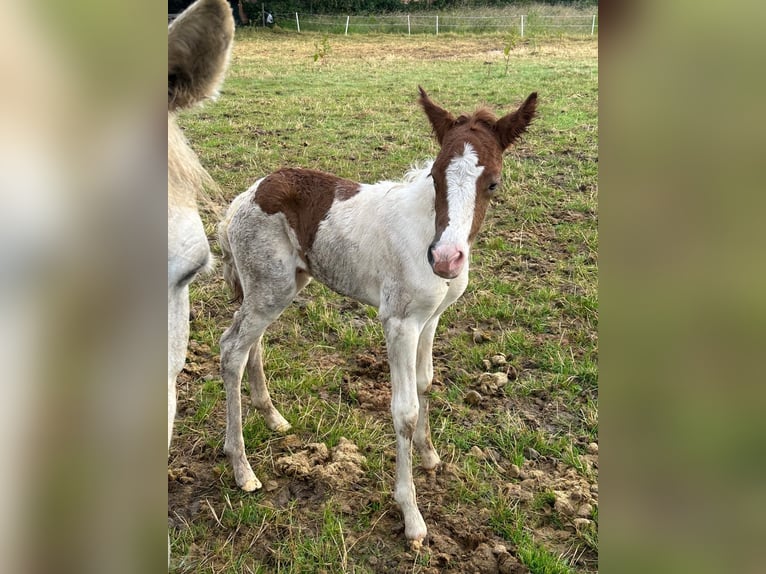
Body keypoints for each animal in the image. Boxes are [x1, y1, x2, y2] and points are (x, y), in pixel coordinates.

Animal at [218, 90, 540, 548]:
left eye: (492, 182)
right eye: (436, 176)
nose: (446, 259)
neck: (427, 232)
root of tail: (243, 199)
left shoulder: (431, 319)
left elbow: (426, 384)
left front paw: (430, 456)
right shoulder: (400, 322)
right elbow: (404, 410)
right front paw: (412, 516)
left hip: (276, 286)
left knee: (251, 345)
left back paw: (273, 418)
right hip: (270, 287)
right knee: (232, 349)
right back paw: (242, 468)